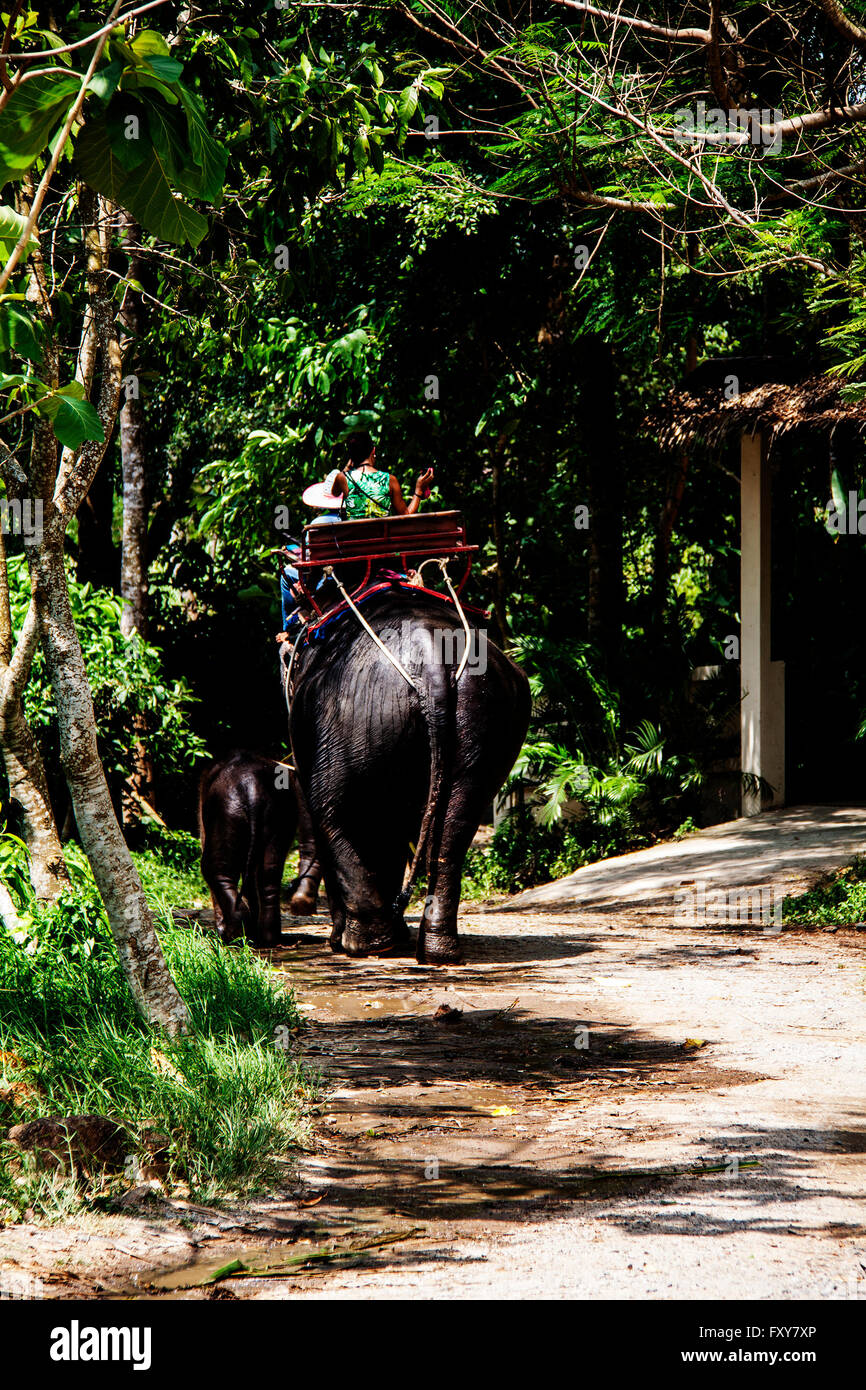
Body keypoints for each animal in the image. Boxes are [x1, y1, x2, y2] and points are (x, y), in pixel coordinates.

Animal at [200, 750, 325, 945]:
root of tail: (252, 790)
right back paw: (267, 937)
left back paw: (235, 934)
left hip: (226, 813)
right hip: (274, 819)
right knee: (268, 874)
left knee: (215, 871)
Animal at [286, 589, 528, 967]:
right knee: (457, 825)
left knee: (331, 813)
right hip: (483, 719)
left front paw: (342, 939)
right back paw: (436, 950)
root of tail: (431, 660)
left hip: (346, 724)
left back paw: (363, 944)